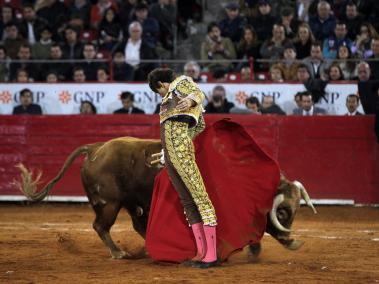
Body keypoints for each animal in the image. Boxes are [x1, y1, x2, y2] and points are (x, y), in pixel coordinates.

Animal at [16, 137, 316, 260]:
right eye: (283, 212)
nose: (291, 240)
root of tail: (95, 148)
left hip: (130, 202)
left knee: (137, 224)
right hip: (110, 203)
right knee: (101, 226)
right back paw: (119, 253)